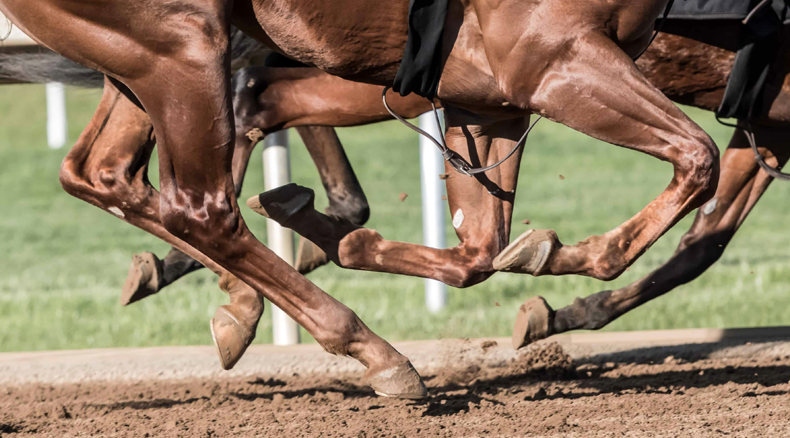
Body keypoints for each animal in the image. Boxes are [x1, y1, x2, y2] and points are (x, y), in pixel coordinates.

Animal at [0, 0, 724, 396]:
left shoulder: (488, 94)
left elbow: (480, 247)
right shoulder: (552, 57)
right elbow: (699, 159)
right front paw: (576, 257)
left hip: (140, 58)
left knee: (103, 173)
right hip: (179, 43)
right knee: (201, 206)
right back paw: (374, 352)